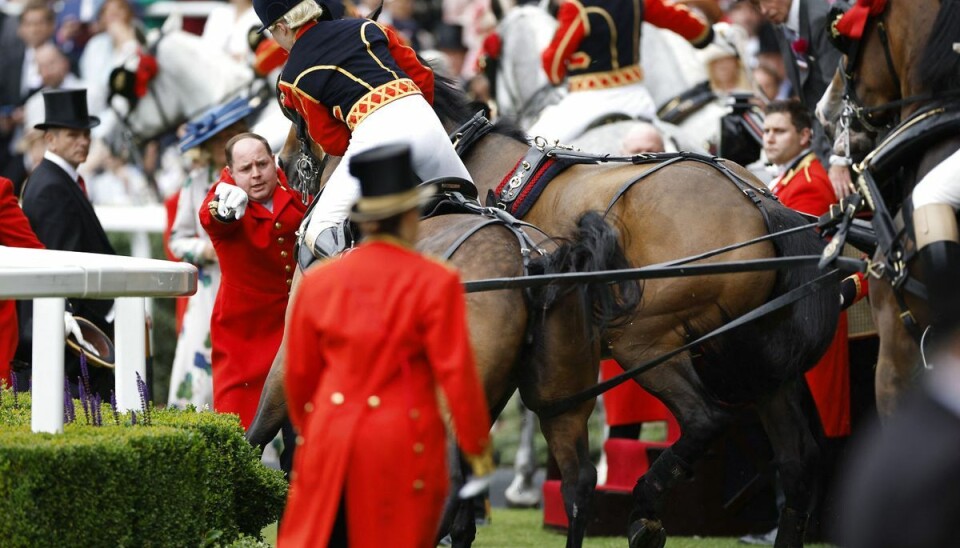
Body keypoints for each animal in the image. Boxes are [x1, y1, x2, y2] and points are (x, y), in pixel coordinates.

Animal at [432, 74, 836, 548]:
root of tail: (759, 202)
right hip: (756, 362)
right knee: (797, 460)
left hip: (643, 342)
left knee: (705, 418)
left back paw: (645, 506)